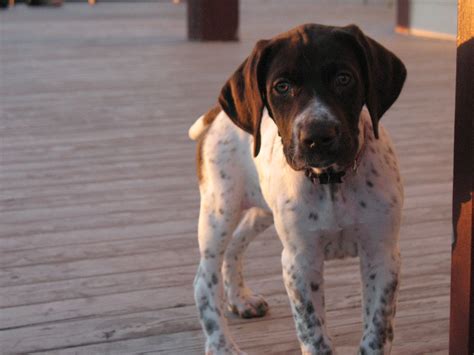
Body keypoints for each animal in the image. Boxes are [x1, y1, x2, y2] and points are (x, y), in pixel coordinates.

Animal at [189, 23, 408, 354]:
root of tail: (218, 111)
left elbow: (376, 334)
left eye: (344, 78)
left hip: (263, 210)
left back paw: (241, 299)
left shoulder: (381, 253)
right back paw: (221, 345)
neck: (332, 181)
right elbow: (314, 335)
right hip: (219, 209)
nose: (317, 136)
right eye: (282, 87)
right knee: (204, 279)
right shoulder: (300, 262)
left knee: (237, 243)